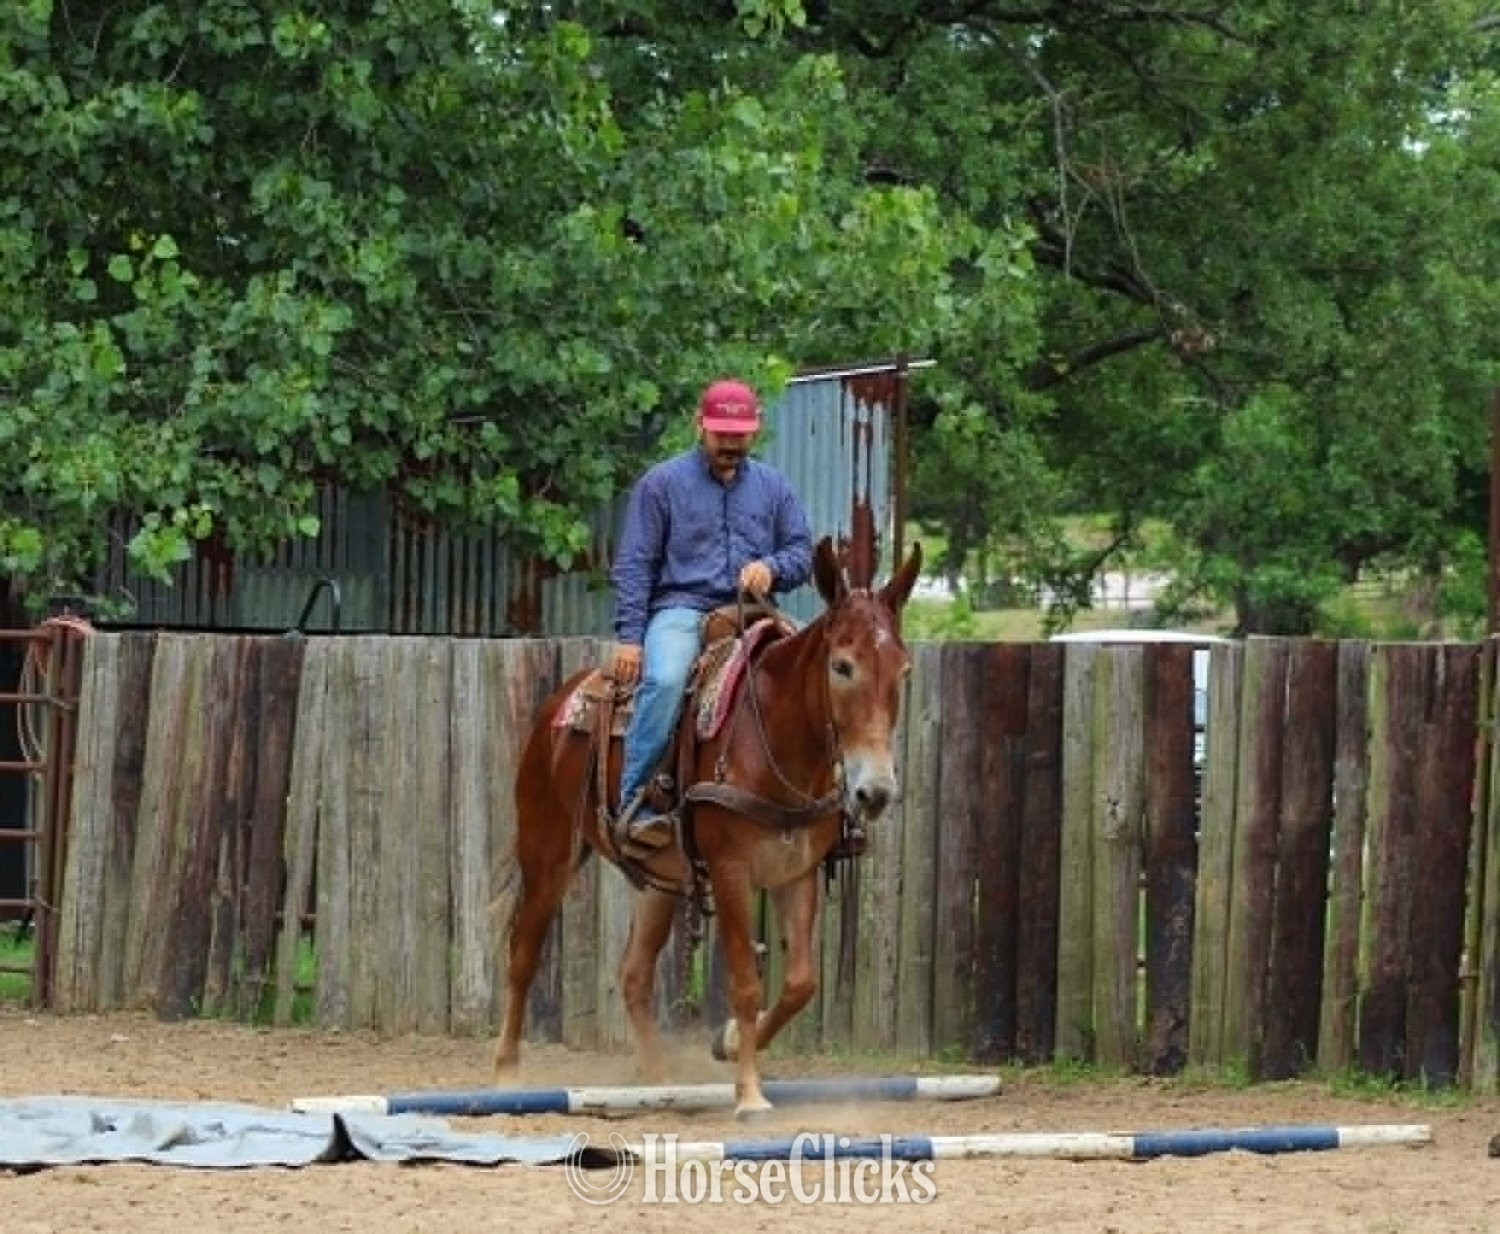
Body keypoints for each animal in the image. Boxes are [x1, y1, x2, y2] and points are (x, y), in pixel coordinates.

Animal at [490, 534, 922, 1119]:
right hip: (548, 852)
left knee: (633, 975)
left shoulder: (796, 873)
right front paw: (750, 1095)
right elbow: (745, 981)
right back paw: (506, 1074)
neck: (775, 742)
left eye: (903, 670)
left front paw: (733, 1041)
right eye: (842, 665)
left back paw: (658, 1084)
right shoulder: (731, 869)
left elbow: (801, 983)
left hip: (661, 882)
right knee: (523, 954)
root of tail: (562, 703)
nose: (873, 792)